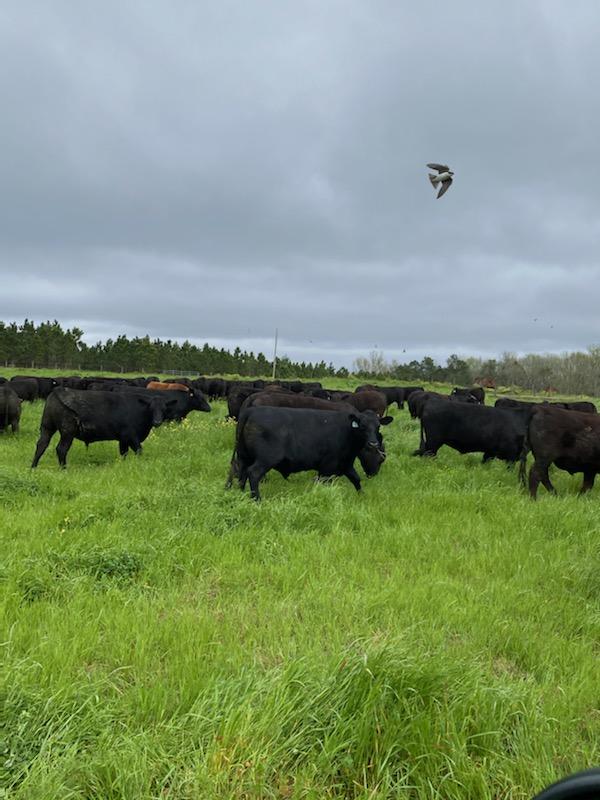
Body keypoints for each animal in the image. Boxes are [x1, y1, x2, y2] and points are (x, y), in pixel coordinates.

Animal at [31, 390, 171, 468]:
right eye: (151, 408)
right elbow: (138, 450)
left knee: (41, 444)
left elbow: (124, 453)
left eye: (164, 409)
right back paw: (64, 468)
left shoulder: (123, 439)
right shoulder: (131, 436)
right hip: (67, 432)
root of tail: (57, 392)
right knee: (61, 449)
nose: (157, 421)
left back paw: (33, 466)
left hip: (47, 427)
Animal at [227, 406, 392, 500]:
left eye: (378, 426)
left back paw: (241, 494)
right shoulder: (327, 467)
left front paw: (362, 497)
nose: (373, 443)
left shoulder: (345, 464)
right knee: (253, 474)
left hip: (244, 456)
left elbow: (356, 479)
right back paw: (257, 499)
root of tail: (251, 411)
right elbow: (324, 484)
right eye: (362, 426)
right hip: (265, 459)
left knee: (241, 474)